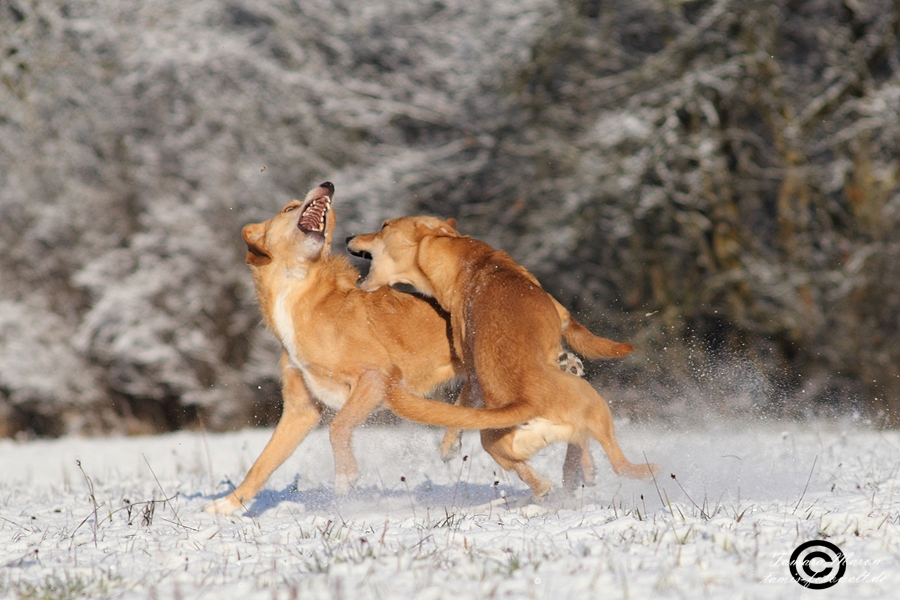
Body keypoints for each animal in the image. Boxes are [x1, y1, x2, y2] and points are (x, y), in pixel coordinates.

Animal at [348, 216, 656, 496]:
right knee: (615, 461)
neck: (470, 263)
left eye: (384, 226)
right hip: (595, 405)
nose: (349, 236)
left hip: (495, 441)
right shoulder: (560, 316)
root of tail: (528, 401)